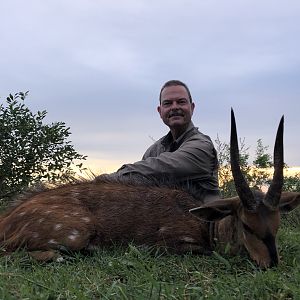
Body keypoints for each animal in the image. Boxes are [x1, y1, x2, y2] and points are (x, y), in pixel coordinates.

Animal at [0, 110, 298, 268]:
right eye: (247, 225)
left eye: (277, 223)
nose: (270, 263)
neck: (207, 226)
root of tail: (7, 220)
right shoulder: (168, 245)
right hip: (74, 232)